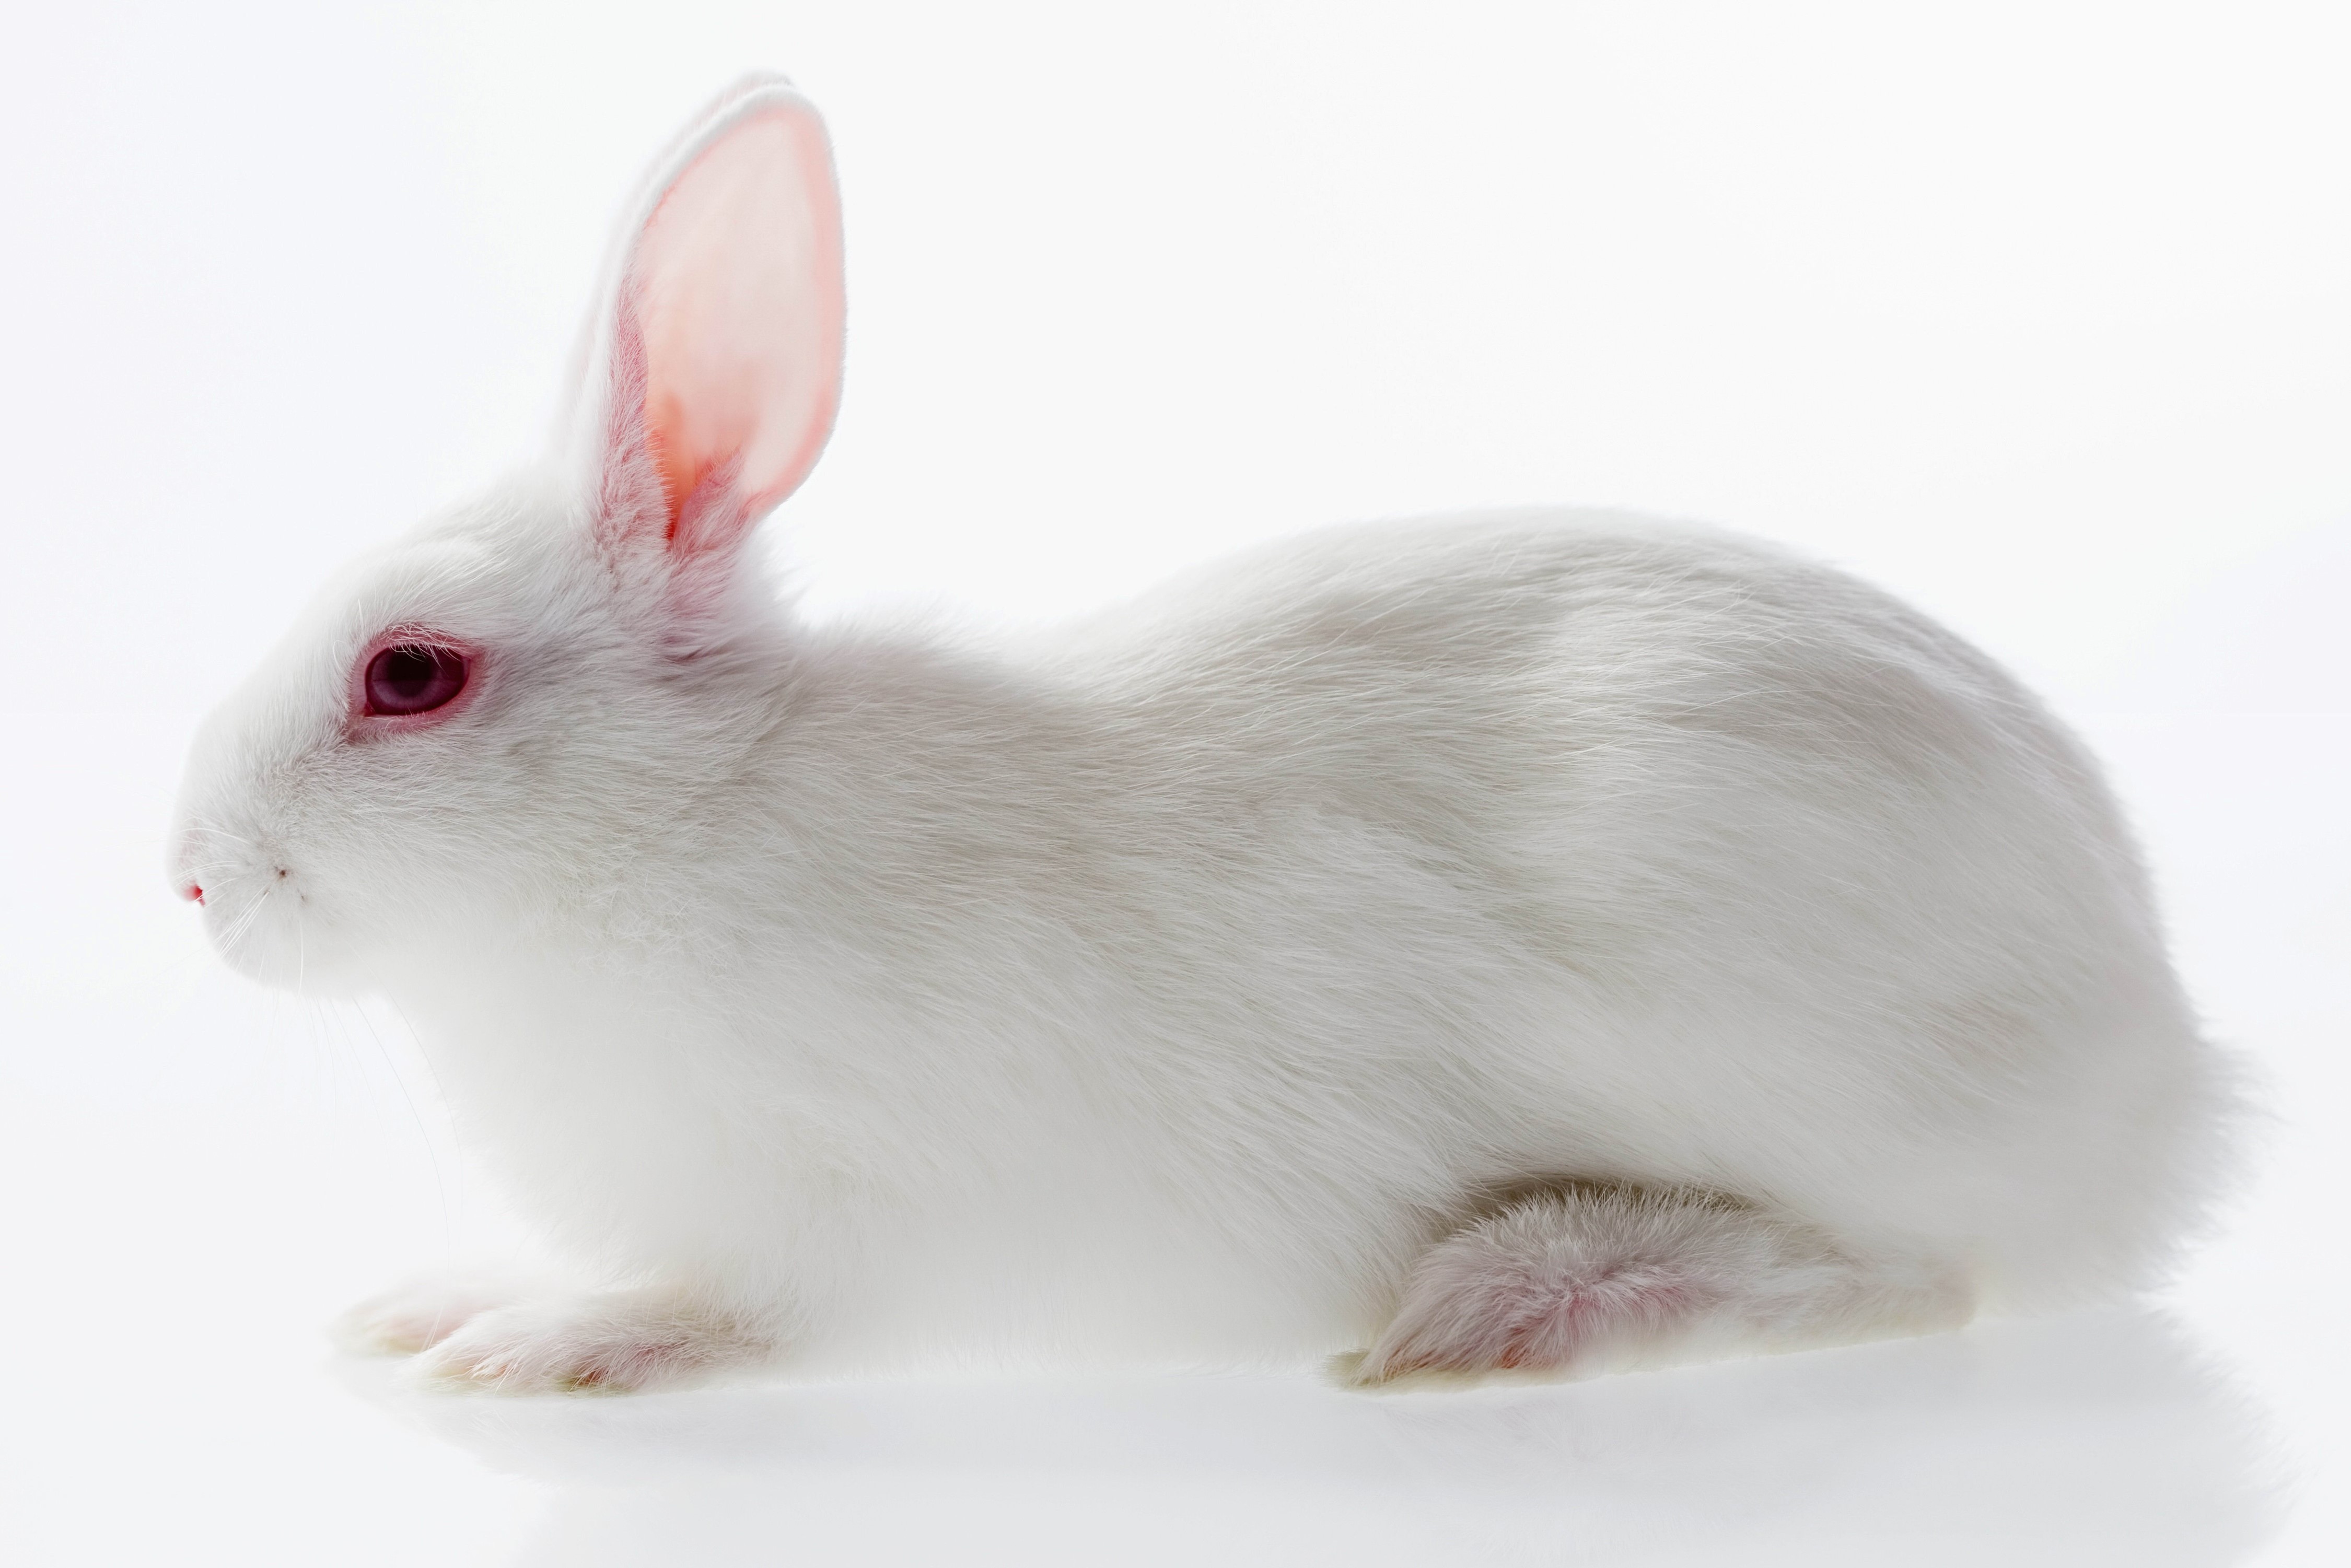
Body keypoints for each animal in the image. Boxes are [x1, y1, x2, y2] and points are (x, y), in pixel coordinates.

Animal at [170, 74, 2235, 1394]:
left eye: (411, 674)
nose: (191, 881)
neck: (677, 816)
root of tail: (2166, 1069)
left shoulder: (861, 1214)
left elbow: (743, 1308)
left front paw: (542, 1340)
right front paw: (430, 1305)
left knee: (1924, 1274)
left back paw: (1519, 1307)